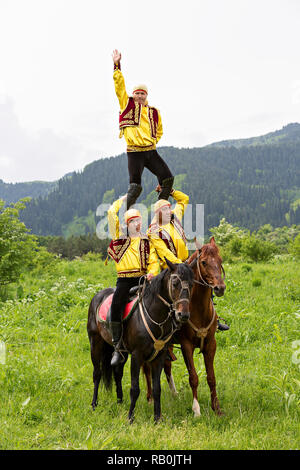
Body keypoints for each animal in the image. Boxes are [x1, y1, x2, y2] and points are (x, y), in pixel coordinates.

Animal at [86, 258, 195, 424]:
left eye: (192, 284)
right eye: (175, 283)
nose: (183, 315)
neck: (155, 315)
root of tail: (97, 296)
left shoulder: (159, 356)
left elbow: (157, 389)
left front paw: (157, 418)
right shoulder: (137, 356)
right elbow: (135, 388)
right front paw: (130, 418)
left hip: (122, 353)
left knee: (117, 373)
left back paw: (119, 401)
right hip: (95, 343)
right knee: (97, 374)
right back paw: (94, 404)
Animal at [143, 237, 225, 416]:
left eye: (220, 260)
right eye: (204, 262)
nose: (220, 288)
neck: (198, 309)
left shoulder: (211, 345)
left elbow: (211, 377)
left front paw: (217, 408)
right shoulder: (187, 345)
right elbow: (193, 377)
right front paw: (196, 410)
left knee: (166, 366)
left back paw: (174, 394)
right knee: (146, 368)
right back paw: (150, 398)